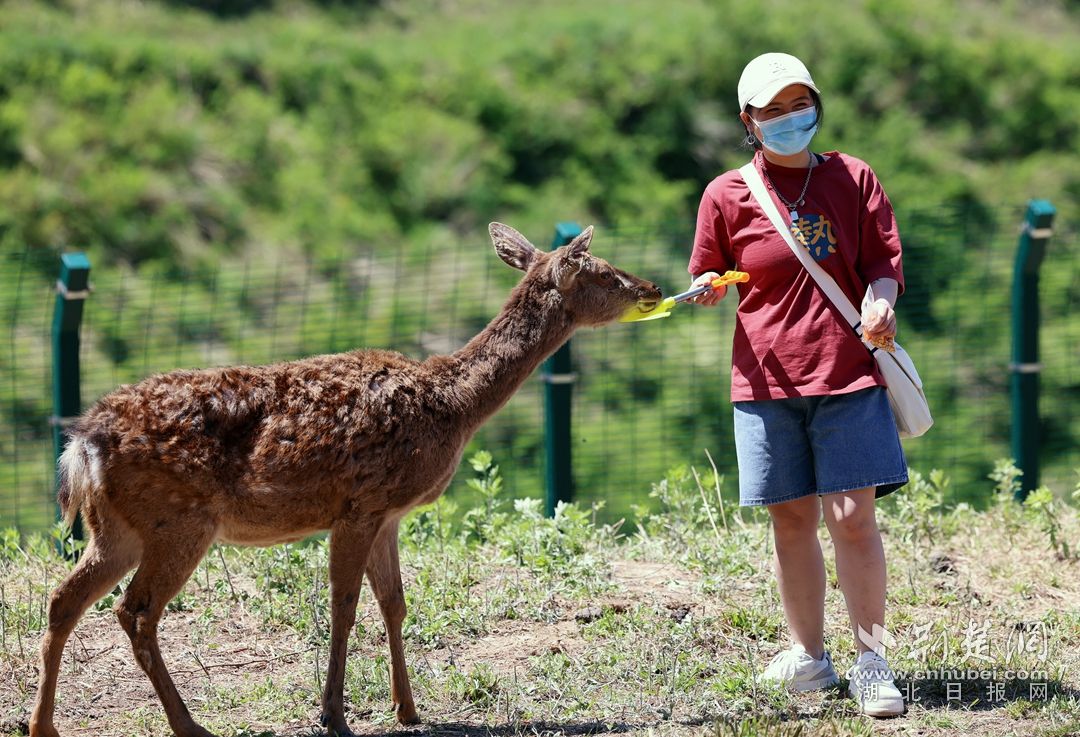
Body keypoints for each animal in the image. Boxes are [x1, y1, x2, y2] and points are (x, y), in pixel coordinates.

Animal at [29, 219, 660, 734]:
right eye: (605, 272)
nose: (651, 289)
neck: (453, 406)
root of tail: (84, 442)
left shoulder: (389, 514)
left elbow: (394, 603)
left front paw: (408, 710)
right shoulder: (361, 504)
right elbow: (346, 606)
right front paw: (334, 714)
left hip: (117, 526)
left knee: (65, 599)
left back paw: (44, 725)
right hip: (179, 519)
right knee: (135, 611)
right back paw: (189, 725)